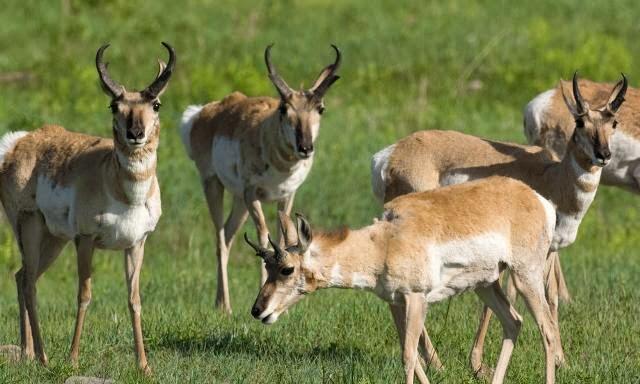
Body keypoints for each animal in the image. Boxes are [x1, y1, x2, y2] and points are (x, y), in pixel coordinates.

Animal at [0, 43, 175, 374]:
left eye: (156, 104)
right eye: (114, 106)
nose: (135, 133)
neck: (124, 192)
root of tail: (19, 143)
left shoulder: (136, 244)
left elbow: (134, 300)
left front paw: (144, 365)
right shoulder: (85, 240)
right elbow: (84, 294)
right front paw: (72, 358)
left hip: (54, 240)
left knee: (21, 276)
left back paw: (28, 353)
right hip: (30, 228)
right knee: (29, 284)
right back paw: (43, 357)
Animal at [180, 44, 340, 312]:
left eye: (321, 108)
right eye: (284, 108)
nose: (305, 147)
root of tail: (205, 112)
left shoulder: (286, 196)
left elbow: (283, 237)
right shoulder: (252, 194)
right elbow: (264, 237)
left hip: (239, 202)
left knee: (228, 234)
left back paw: (220, 302)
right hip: (214, 185)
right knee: (220, 238)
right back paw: (225, 306)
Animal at [248, 176, 556, 384]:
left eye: (287, 269)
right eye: (267, 265)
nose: (257, 310)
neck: (383, 242)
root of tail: (538, 199)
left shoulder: (416, 299)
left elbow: (409, 356)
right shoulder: (395, 304)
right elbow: (413, 357)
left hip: (525, 276)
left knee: (548, 331)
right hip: (486, 285)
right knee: (514, 322)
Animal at [370, 73, 624, 378]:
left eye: (614, 122)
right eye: (580, 122)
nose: (603, 154)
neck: (551, 177)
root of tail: (388, 155)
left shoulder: (548, 252)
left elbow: (550, 296)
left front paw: (563, 360)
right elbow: (498, 303)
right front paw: (478, 365)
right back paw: (436, 364)